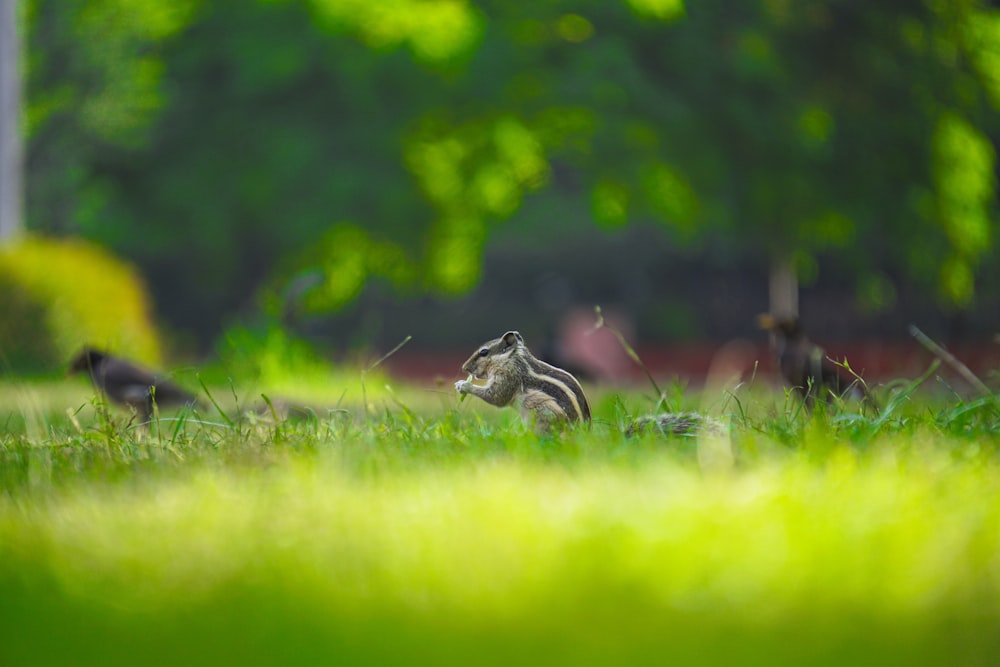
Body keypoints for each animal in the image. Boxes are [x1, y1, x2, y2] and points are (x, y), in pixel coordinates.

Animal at [458, 330, 724, 438]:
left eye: (483, 352)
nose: (464, 368)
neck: (514, 358)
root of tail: (585, 436)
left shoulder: (509, 377)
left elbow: (497, 397)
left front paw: (464, 385)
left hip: (543, 414)